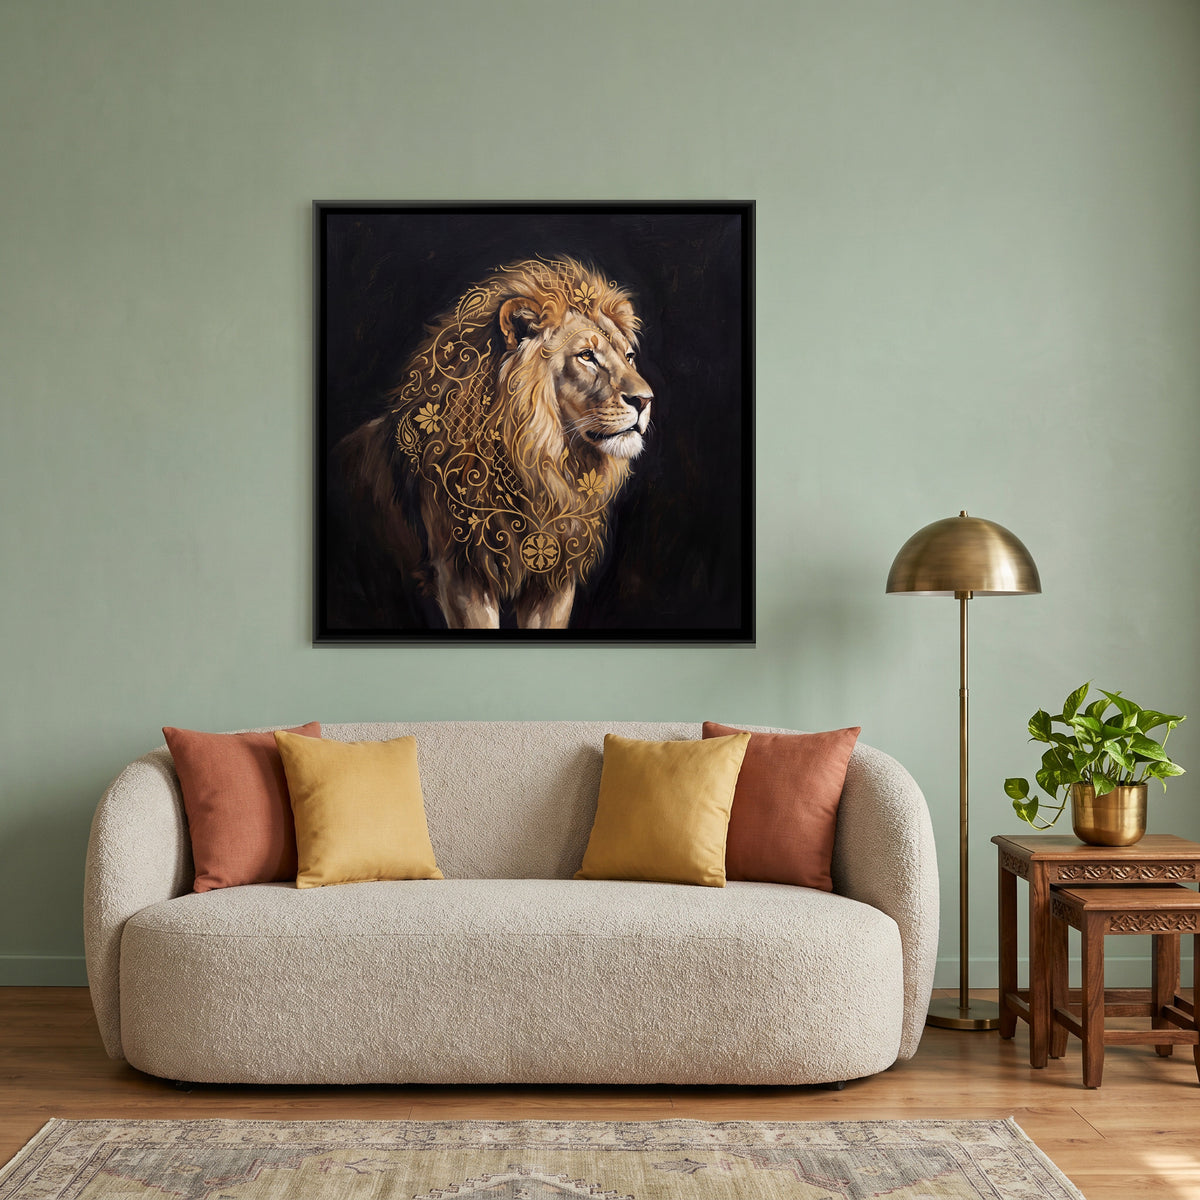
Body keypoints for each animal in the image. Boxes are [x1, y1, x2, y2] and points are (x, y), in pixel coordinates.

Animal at [339, 256, 654, 630]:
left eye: (629, 356)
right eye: (587, 355)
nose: (646, 399)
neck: (540, 467)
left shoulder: (553, 580)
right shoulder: (463, 577)